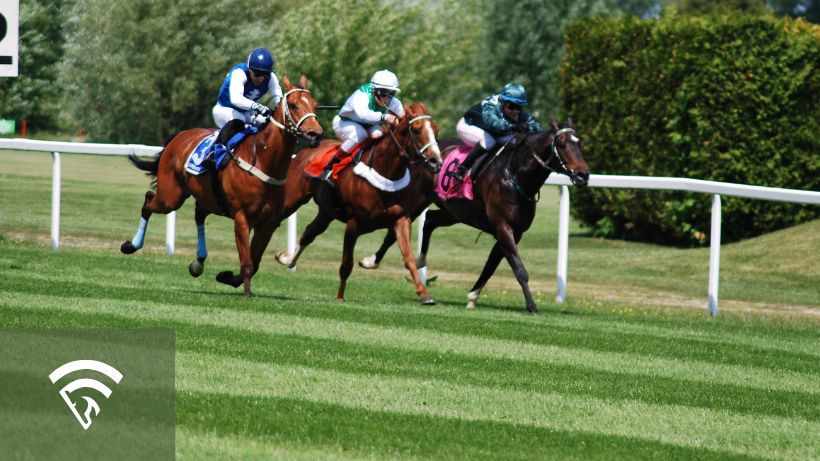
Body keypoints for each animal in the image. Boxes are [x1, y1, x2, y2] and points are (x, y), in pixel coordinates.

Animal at [120, 73, 322, 296]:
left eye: (314, 104)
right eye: (293, 105)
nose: (315, 134)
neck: (263, 159)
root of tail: (179, 137)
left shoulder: (268, 223)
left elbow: (255, 261)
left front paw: (228, 277)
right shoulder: (242, 217)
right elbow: (248, 263)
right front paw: (246, 294)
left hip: (208, 198)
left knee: (199, 214)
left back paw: (198, 262)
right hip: (170, 197)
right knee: (149, 200)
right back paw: (131, 245)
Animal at [272, 104, 442, 304]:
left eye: (436, 130)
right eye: (416, 130)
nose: (436, 161)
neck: (385, 174)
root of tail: (306, 150)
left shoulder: (401, 219)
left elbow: (408, 258)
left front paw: (425, 295)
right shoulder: (354, 224)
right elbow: (346, 264)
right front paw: (340, 297)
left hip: (327, 212)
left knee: (309, 233)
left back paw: (287, 259)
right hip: (292, 199)